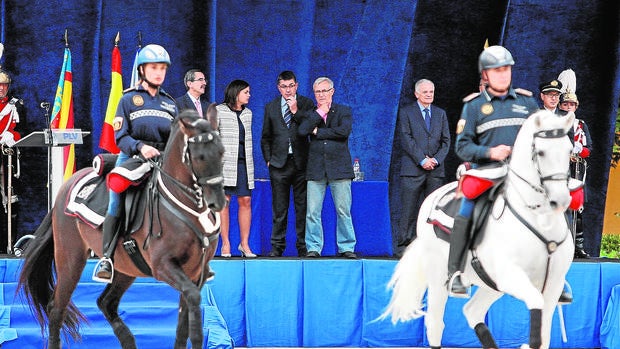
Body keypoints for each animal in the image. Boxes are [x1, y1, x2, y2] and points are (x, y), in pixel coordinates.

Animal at [17, 106, 228, 348]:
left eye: (222, 152)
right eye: (199, 156)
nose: (217, 202)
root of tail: (67, 185)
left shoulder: (196, 272)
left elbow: (184, 321)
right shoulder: (163, 265)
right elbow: (193, 303)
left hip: (125, 268)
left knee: (106, 302)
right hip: (70, 259)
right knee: (56, 308)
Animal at [382, 110, 576, 348]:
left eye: (569, 150)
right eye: (541, 152)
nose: (561, 200)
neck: (540, 220)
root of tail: (432, 196)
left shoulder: (553, 286)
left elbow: (544, 336)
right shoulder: (511, 275)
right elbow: (535, 313)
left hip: (491, 285)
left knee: (472, 311)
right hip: (438, 275)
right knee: (436, 323)